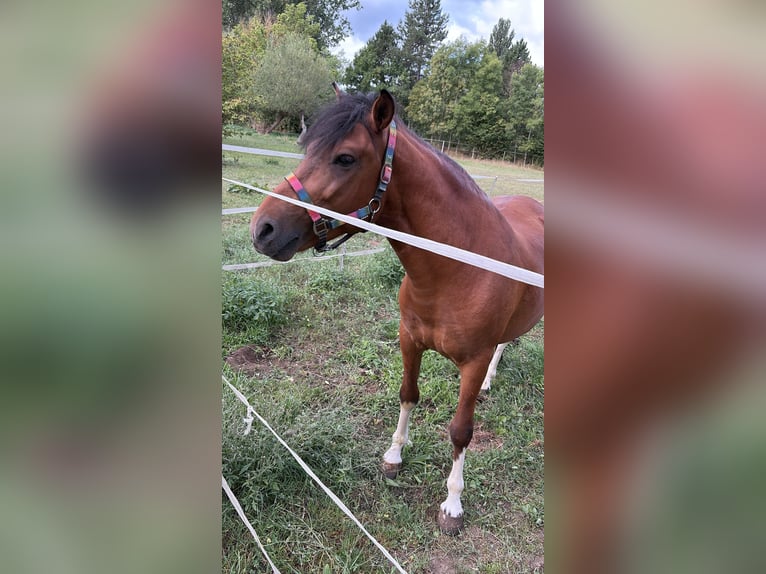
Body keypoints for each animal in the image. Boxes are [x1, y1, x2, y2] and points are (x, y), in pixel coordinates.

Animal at [250, 86, 544, 534]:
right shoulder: (409, 340)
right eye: (306, 147)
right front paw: (394, 456)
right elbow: (408, 395)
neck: (455, 271)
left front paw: (453, 504)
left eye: (346, 158)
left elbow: (461, 431)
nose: (262, 229)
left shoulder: (472, 362)